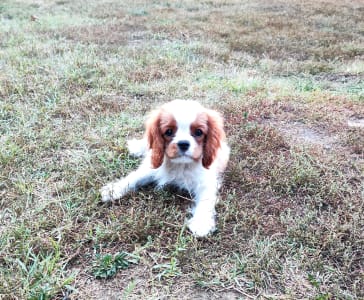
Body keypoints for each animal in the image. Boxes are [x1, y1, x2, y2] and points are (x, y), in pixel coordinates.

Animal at [99, 100, 230, 237]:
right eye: (169, 132)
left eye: (199, 132)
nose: (183, 143)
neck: (181, 165)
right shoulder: (151, 169)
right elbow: (134, 177)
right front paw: (114, 189)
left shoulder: (207, 182)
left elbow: (206, 200)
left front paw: (201, 222)